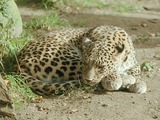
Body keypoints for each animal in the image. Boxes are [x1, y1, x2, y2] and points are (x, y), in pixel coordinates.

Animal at [14, 25, 147, 95]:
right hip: (68, 58)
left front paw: (139, 82)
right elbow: (113, 73)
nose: (88, 79)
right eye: (86, 63)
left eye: (101, 67)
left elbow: (137, 70)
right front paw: (116, 80)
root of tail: (18, 63)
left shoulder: (133, 63)